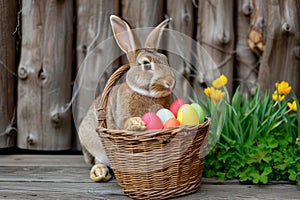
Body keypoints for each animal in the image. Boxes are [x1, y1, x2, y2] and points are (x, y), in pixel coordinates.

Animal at [78, 14, 175, 182]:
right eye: (146, 64)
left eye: (166, 60)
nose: (170, 82)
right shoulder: (121, 115)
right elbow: (124, 123)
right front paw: (137, 123)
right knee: (96, 160)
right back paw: (100, 172)